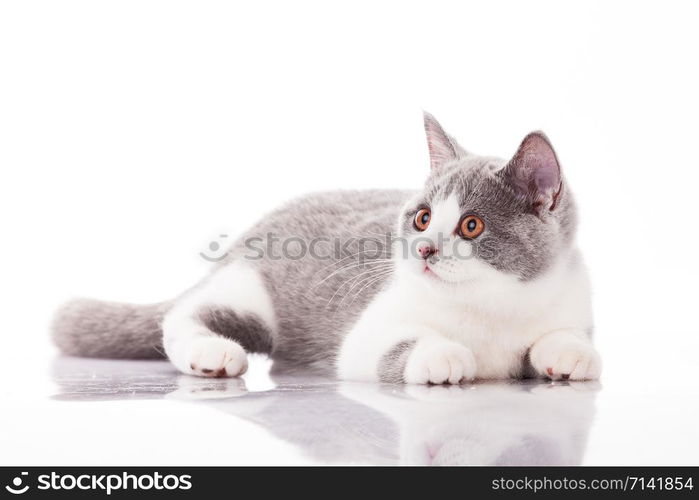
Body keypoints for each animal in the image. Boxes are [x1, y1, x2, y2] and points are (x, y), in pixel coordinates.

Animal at [54, 113, 600, 384]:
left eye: (471, 226)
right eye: (422, 218)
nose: (423, 250)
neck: (492, 307)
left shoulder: (569, 301)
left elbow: (564, 337)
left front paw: (570, 354)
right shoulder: (368, 330)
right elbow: (394, 343)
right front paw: (443, 355)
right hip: (254, 295)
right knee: (185, 313)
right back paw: (213, 353)